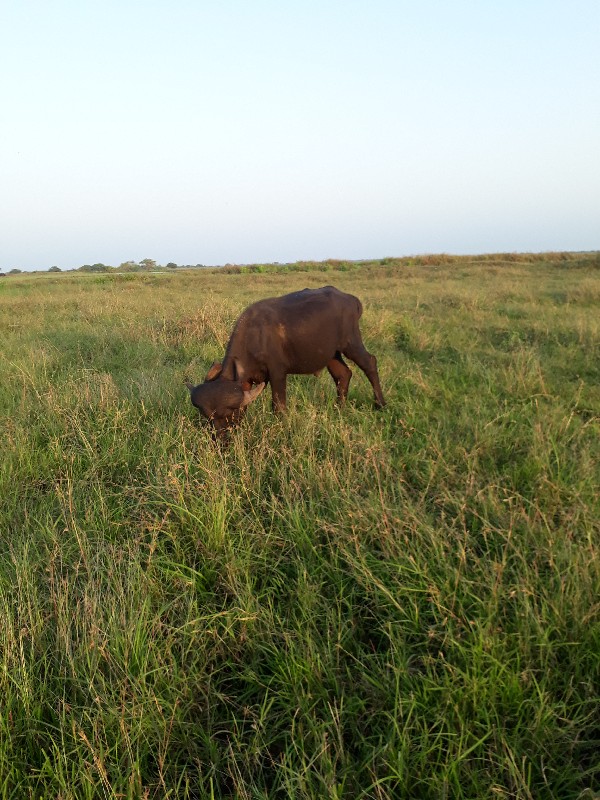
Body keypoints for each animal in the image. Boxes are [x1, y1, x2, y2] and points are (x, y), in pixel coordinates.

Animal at [185, 286, 386, 438]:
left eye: (229, 414)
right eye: (208, 418)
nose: (221, 440)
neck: (256, 336)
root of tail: (352, 300)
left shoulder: (277, 373)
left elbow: (278, 405)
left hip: (351, 342)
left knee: (370, 363)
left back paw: (380, 404)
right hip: (331, 353)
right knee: (343, 374)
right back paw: (339, 407)